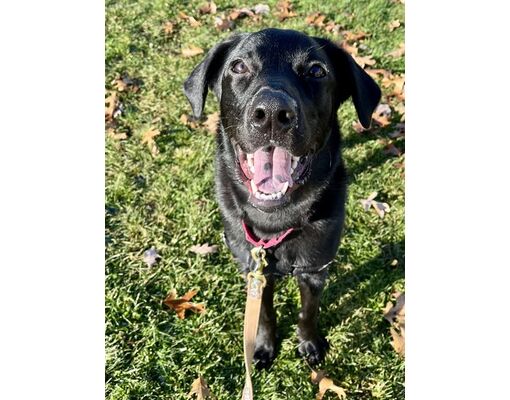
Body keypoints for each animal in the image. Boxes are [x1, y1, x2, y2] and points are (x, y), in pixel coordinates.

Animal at [183, 28, 378, 368]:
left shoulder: (315, 269)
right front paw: (262, 347)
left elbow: (308, 313)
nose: (272, 113)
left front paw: (309, 344)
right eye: (238, 67)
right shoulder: (254, 270)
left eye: (316, 71)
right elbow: (264, 314)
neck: (276, 220)